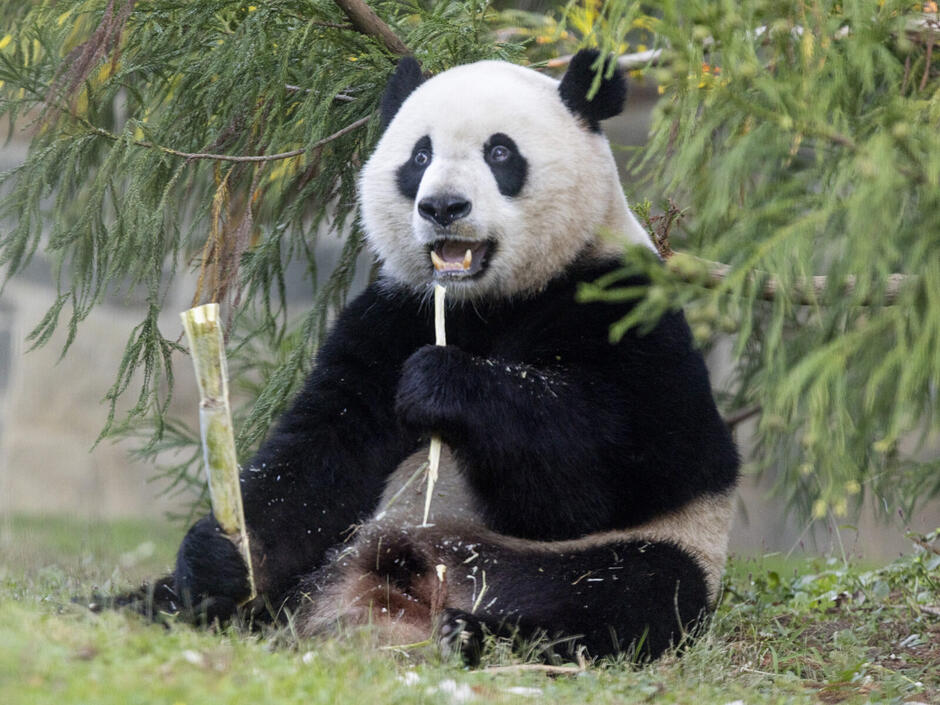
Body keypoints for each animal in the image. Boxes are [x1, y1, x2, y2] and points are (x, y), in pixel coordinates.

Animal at [163, 50, 740, 664]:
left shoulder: (626, 311)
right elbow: (319, 457)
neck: (482, 302)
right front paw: (222, 561)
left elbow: (612, 470)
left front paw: (441, 382)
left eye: (501, 152)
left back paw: (472, 634)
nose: (443, 206)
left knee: (634, 590)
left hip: (630, 553)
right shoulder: (389, 315)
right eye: (420, 156)